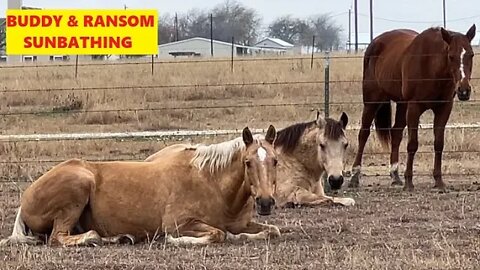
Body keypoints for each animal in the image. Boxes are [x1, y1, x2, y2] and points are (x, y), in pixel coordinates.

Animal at [0, 125, 282, 246]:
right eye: (247, 162)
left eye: (275, 160)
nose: (265, 202)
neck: (211, 182)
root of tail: (26, 197)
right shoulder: (179, 224)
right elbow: (217, 234)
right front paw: (176, 241)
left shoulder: (242, 223)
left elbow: (271, 231)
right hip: (78, 186)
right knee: (59, 238)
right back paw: (97, 239)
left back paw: (119, 237)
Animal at [348, 24, 476, 191]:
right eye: (451, 56)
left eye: (471, 55)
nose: (464, 90)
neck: (431, 66)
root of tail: (375, 42)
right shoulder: (414, 108)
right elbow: (412, 144)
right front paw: (409, 181)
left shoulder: (444, 108)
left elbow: (439, 144)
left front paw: (439, 181)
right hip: (372, 101)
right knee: (363, 134)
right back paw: (354, 176)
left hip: (402, 105)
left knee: (395, 133)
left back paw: (395, 175)